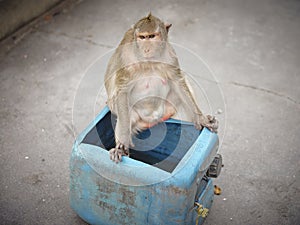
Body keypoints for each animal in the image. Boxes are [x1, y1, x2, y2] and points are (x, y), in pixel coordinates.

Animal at [104, 13, 217, 163]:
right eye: (142, 37)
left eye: (152, 36)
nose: (147, 49)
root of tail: (153, 119)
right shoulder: (125, 60)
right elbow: (122, 91)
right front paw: (121, 147)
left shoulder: (170, 55)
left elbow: (177, 81)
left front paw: (202, 119)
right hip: (131, 114)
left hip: (169, 107)